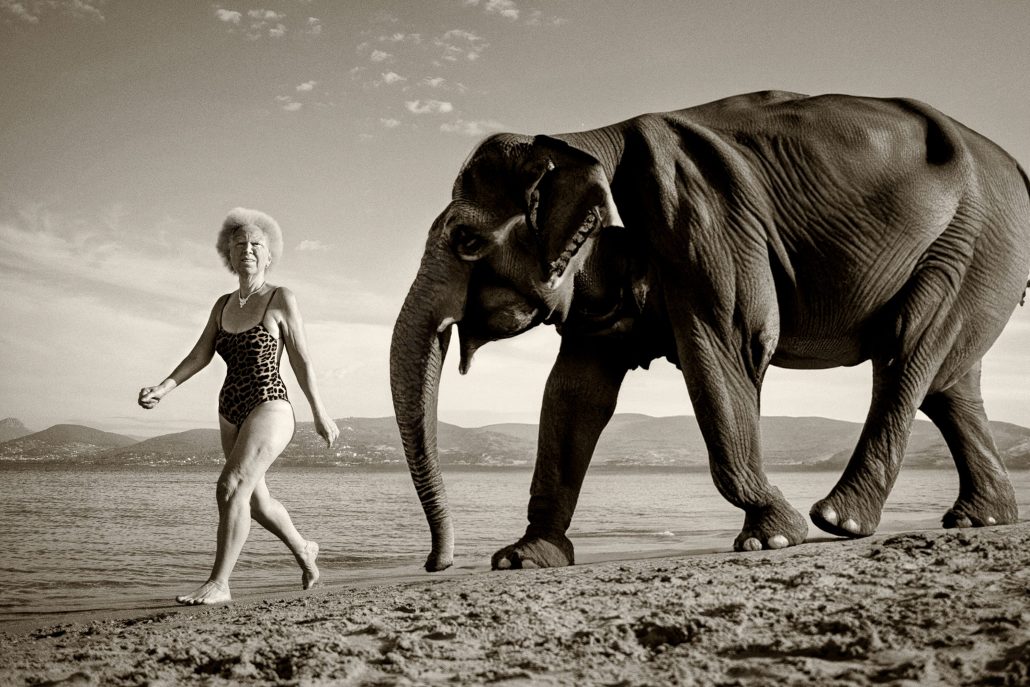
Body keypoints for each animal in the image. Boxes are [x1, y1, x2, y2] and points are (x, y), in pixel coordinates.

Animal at [390, 90, 1030, 572]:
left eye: (466, 240)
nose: (437, 564)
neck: (586, 140)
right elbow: (575, 393)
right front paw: (522, 559)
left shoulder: (707, 226)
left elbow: (729, 352)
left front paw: (772, 538)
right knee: (950, 384)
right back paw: (981, 518)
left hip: (969, 241)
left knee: (905, 350)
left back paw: (837, 520)